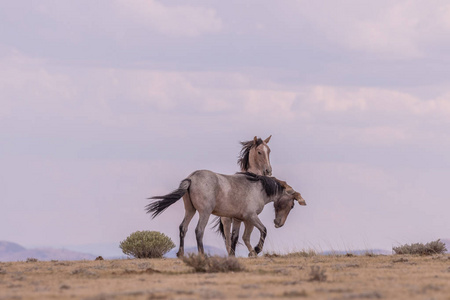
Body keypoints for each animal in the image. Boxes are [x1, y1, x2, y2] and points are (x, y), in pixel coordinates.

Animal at [146, 170, 298, 256]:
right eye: (292, 205)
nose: (279, 223)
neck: (258, 188)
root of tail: (192, 178)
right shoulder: (251, 217)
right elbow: (264, 230)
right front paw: (257, 249)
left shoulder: (237, 219)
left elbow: (234, 238)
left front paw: (232, 255)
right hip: (204, 213)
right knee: (199, 230)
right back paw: (202, 254)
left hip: (190, 210)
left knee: (183, 228)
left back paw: (181, 253)